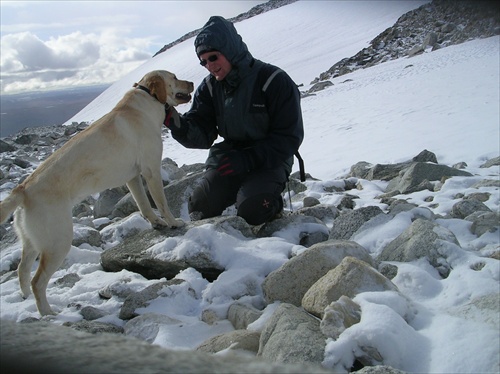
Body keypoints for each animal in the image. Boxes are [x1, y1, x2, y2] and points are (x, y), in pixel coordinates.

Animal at [0, 70, 193, 316]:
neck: (145, 102)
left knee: (22, 270)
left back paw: (26, 300)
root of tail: (22, 190)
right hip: (58, 241)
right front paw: (173, 222)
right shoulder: (151, 170)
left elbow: (144, 204)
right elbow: (161, 202)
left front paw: (156, 222)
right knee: (37, 281)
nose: (192, 83)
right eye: (175, 77)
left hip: (32, 240)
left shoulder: (133, 177)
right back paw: (48, 313)